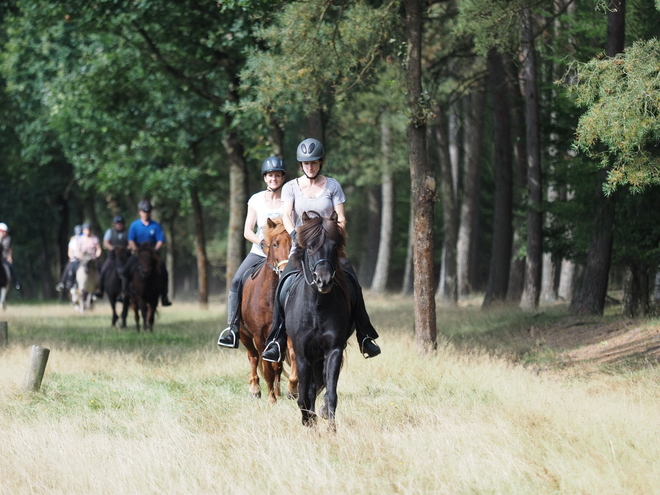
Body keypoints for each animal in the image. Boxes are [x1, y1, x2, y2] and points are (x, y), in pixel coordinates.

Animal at [238, 217, 296, 404]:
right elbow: (266, 366)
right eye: (275, 244)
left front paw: (291, 390)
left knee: (277, 364)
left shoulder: (285, 334)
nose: (284, 271)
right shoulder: (259, 336)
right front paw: (271, 399)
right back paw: (255, 390)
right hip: (244, 334)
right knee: (253, 357)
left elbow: (287, 359)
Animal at [284, 211, 356, 432]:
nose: (323, 281)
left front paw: (331, 429)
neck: (317, 307)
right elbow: (303, 397)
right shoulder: (301, 354)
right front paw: (308, 423)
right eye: (309, 247)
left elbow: (330, 393)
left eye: (334, 247)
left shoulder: (333, 350)